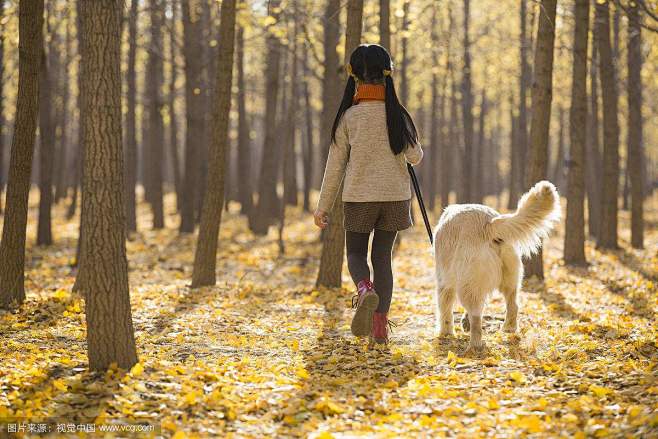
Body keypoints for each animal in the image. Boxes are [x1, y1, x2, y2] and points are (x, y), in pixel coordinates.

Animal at [430, 181, 560, 350]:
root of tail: (489, 223)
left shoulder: (444, 282)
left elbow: (444, 309)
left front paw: (445, 333)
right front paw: (463, 322)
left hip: (467, 283)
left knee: (477, 317)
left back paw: (475, 346)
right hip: (510, 278)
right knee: (513, 305)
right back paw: (509, 328)